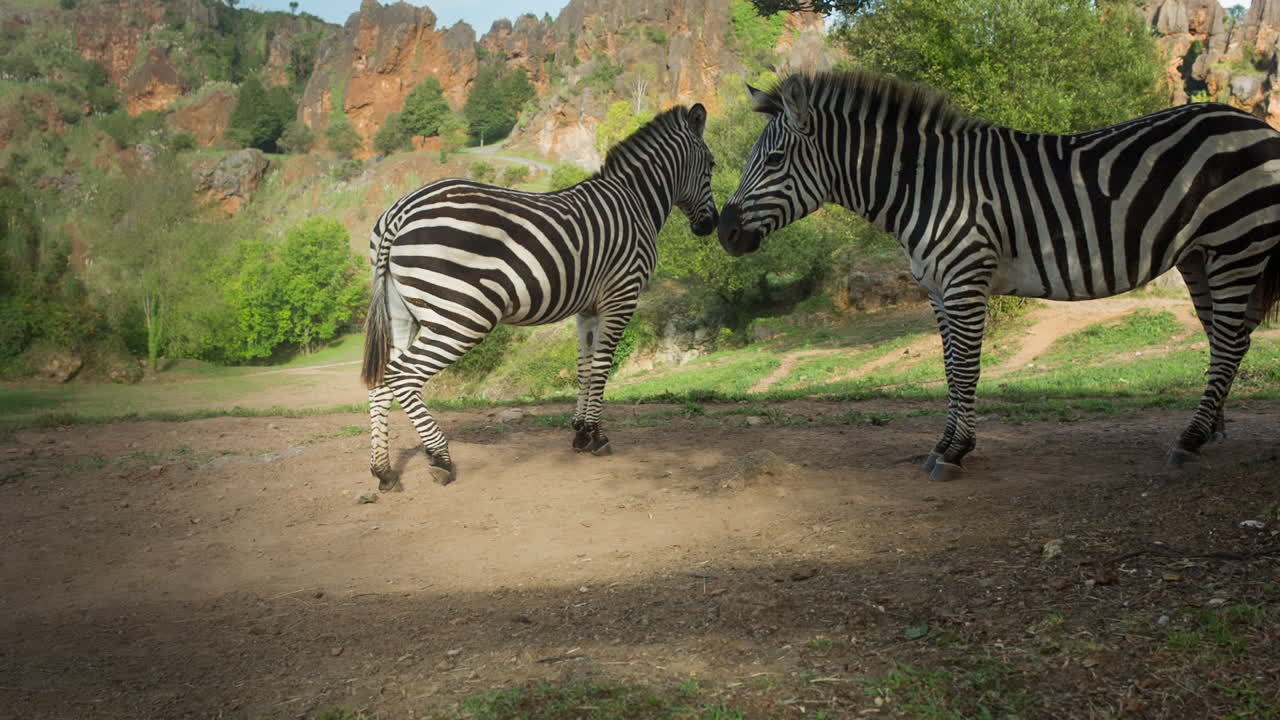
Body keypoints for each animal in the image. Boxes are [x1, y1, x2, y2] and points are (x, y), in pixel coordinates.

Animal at [361, 104, 718, 491]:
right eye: (712, 165)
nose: (711, 225)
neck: (635, 201)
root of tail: (402, 210)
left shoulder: (588, 308)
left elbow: (584, 367)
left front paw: (580, 432)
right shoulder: (621, 295)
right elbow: (603, 365)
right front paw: (597, 436)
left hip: (401, 312)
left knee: (382, 381)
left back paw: (383, 470)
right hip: (462, 315)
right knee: (403, 375)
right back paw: (440, 458)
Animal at [717, 70, 1280, 481]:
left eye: (774, 159)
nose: (724, 233)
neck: (924, 186)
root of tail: (1256, 124)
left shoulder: (965, 278)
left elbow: (965, 369)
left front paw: (955, 452)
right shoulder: (938, 289)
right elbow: (949, 368)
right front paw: (944, 443)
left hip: (1236, 244)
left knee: (1230, 341)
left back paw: (1190, 439)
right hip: (1201, 255)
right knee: (1226, 340)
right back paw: (1207, 430)